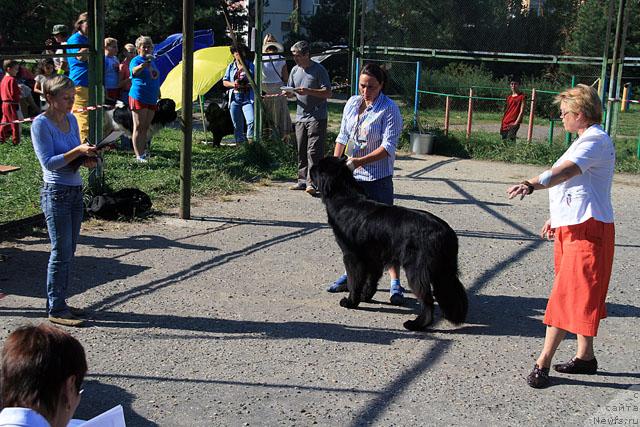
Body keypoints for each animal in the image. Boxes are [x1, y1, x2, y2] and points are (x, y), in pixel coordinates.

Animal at [312, 156, 468, 332]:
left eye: (318, 167)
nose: (310, 168)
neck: (344, 197)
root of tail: (446, 232)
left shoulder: (352, 256)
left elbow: (355, 281)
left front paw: (351, 302)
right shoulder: (373, 257)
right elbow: (371, 279)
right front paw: (365, 296)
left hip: (417, 269)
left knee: (427, 300)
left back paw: (416, 324)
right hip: (444, 270)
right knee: (453, 291)